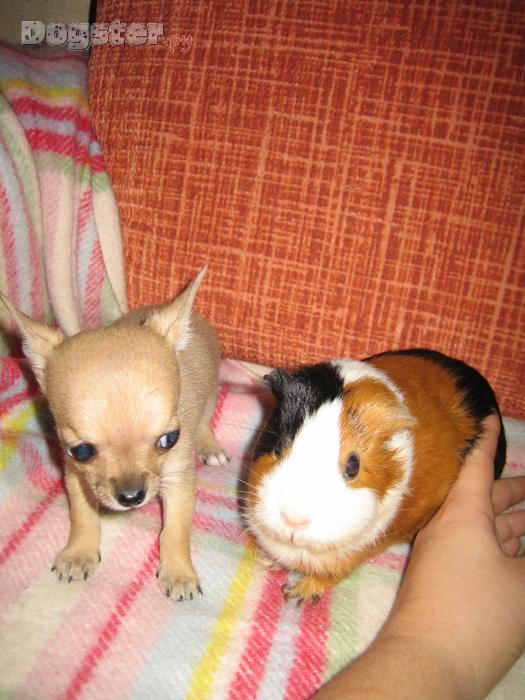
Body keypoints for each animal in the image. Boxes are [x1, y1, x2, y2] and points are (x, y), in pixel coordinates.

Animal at [1, 268, 227, 599]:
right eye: (81, 451)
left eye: (169, 440)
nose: (132, 497)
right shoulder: (76, 475)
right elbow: (83, 516)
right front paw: (79, 552)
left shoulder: (178, 478)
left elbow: (175, 528)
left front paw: (178, 572)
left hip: (210, 395)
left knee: (204, 420)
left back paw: (210, 445)